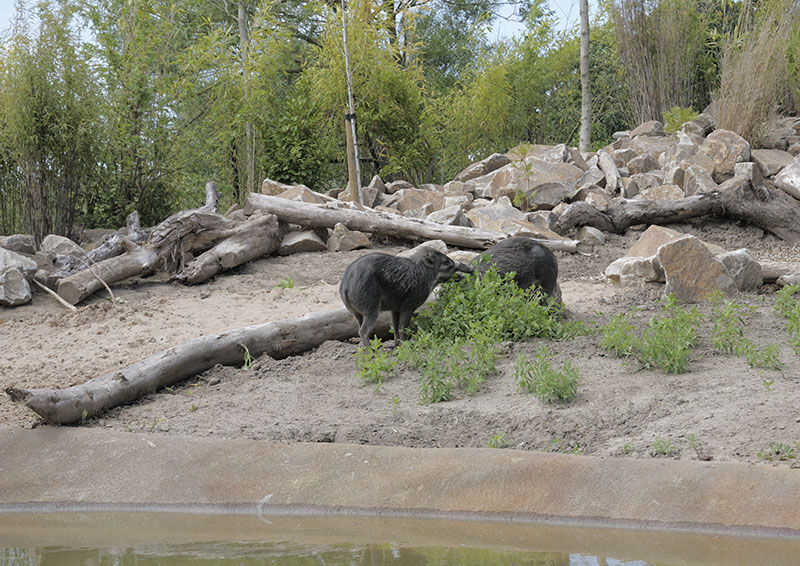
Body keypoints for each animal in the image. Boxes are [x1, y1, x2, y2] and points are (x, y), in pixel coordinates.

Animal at [340, 248, 473, 347]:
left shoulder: (395, 308)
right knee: (363, 331)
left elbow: (395, 327)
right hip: (371, 309)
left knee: (359, 329)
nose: (470, 269)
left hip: (357, 313)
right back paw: (371, 352)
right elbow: (403, 327)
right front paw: (405, 346)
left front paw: (397, 346)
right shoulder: (408, 306)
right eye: (446, 262)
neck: (425, 274)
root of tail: (346, 285)